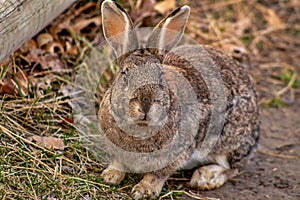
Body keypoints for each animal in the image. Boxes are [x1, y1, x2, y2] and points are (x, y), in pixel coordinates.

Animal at [99, 0, 260, 199]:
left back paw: (205, 177)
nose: (145, 105)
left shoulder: (176, 154)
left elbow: (157, 175)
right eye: (125, 75)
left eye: (160, 76)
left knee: (233, 168)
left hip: (226, 144)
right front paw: (110, 176)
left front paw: (143, 191)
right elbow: (118, 163)